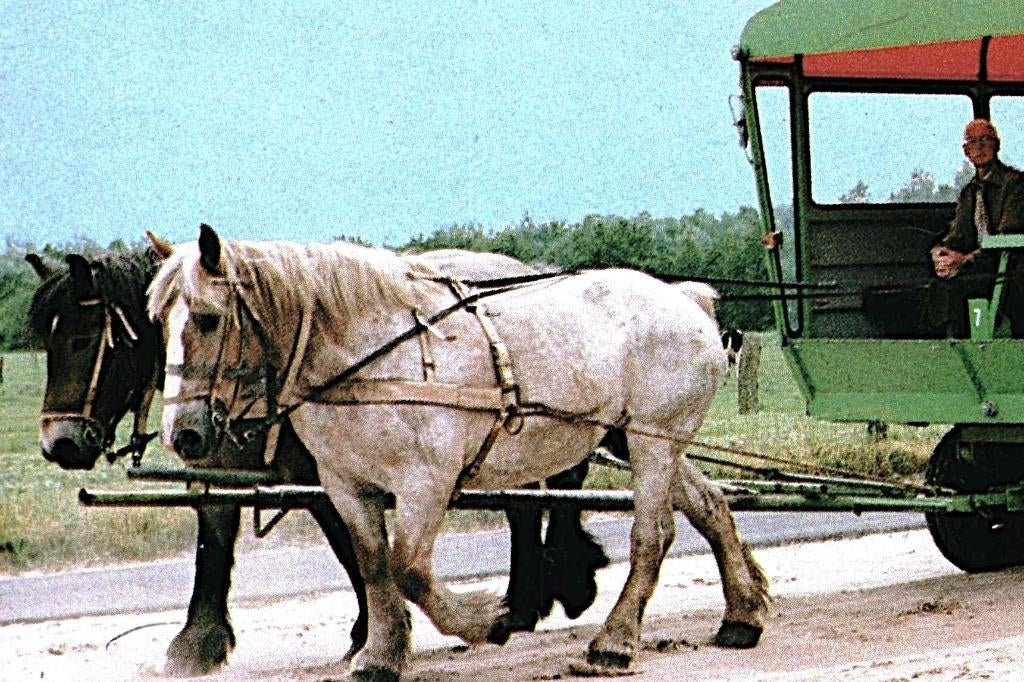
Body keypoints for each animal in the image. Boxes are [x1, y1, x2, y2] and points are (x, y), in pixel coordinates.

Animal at [25, 244, 608, 675]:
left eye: (84, 339)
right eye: (49, 344)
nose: (59, 443)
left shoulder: (325, 477)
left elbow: (354, 553)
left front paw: (369, 633)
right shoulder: (229, 465)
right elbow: (215, 536)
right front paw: (199, 643)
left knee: (541, 499)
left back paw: (543, 592)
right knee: (527, 504)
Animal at [148, 224, 769, 679]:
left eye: (208, 319)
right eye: (159, 322)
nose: (184, 435)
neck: (374, 357)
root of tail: (687, 299)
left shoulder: (427, 481)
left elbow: (409, 568)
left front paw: (482, 622)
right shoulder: (347, 486)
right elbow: (374, 564)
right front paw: (381, 655)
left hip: (649, 441)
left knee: (652, 535)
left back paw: (615, 642)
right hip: (645, 440)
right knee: (711, 505)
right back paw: (742, 614)